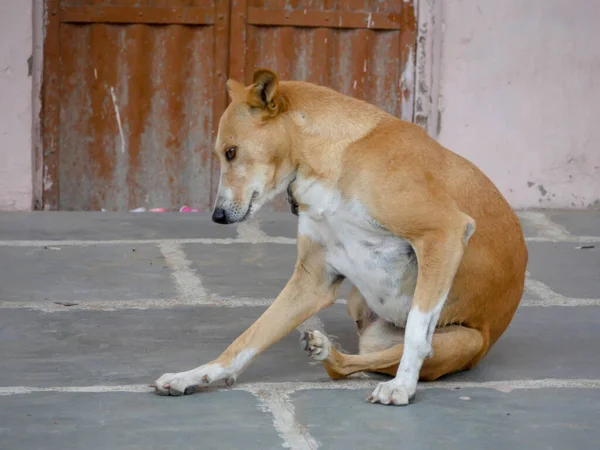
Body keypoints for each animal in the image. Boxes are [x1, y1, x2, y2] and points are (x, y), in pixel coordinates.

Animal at [152, 68, 528, 406]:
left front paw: (402, 387)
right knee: (345, 368)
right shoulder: (313, 280)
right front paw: (195, 375)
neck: (334, 158)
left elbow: (418, 334)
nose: (216, 217)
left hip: (462, 340)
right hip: (366, 319)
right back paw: (324, 351)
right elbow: (247, 340)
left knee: (387, 353)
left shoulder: (444, 232)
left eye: (231, 152)